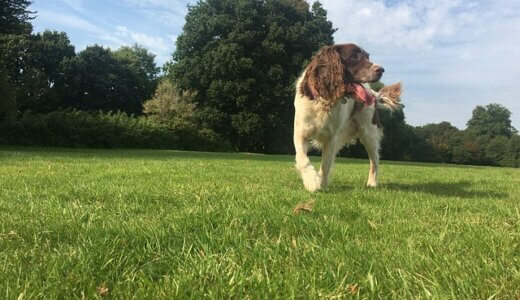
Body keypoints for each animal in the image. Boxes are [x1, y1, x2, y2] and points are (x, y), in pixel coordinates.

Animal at [292, 43, 402, 191]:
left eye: (367, 56)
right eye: (354, 56)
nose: (381, 70)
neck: (325, 101)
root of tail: (373, 93)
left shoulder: (331, 138)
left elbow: (325, 164)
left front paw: (319, 182)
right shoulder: (300, 133)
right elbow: (302, 158)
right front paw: (312, 180)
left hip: (369, 133)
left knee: (375, 160)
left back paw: (372, 183)